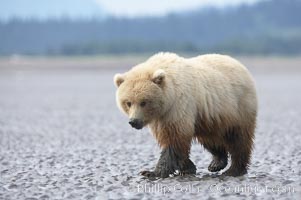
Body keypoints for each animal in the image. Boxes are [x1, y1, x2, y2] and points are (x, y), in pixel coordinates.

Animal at [112, 52, 255, 177]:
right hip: (208, 116)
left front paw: (151, 172)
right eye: (128, 102)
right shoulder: (160, 118)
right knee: (209, 138)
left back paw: (234, 170)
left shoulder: (178, 107)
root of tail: (239, 64)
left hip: (237, 108)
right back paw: (216, 163)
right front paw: (188, 167)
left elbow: (174, 139)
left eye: (143, 102)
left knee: (239, 139)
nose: (134, 121)